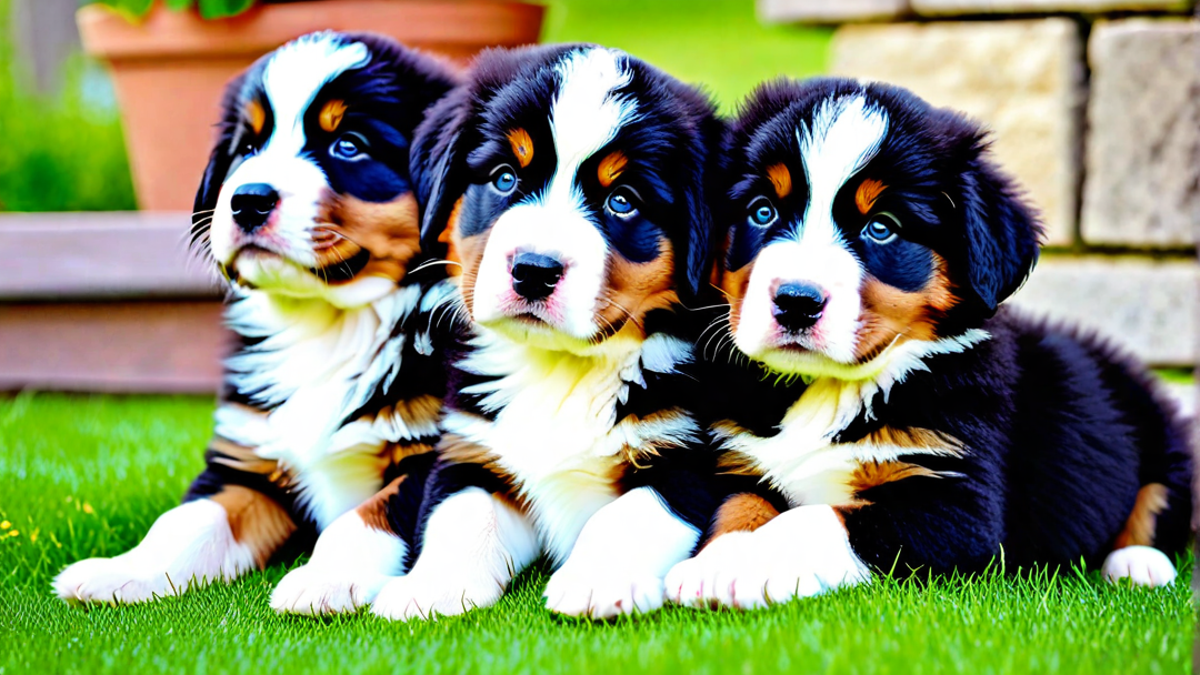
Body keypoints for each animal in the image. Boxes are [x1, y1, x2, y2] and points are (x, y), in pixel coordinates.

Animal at [50, 31, 458, 610]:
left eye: (348, 144)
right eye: (247, 148)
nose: (248, 199)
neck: (331, 326)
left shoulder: (435, 451)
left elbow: (368, 516)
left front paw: (325, 578)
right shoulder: (246, 458)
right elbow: (186, 521)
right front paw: (122, 571)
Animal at [364, 43, 720, 619]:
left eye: (623, 200)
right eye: (505, 177)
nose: (534, 269)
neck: (560, 369)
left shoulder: (690, 461)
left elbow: (629, 513)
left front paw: (596, 580)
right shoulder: (473, 448)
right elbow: (458, 514)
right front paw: (431, 586)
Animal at [667, 78, 1190, 610]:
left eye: (881, 227)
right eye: (762, 211)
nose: (796, 301)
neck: (829, 389)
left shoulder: (952, 503)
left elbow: (816, 518)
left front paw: (747, 567)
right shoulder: (740, 461)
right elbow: (741, 506)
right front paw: (715, 562)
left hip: (1162, 431)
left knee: (1160, 505)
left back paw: (1138, 564)